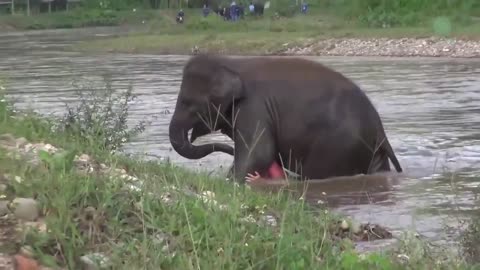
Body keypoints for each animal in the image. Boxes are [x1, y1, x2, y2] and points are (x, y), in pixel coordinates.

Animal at [168, 53, 402, 182]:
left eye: (187, 102)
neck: (231, 63)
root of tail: (379, 129)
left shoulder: (254, 107)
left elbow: (260, 153)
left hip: (338, 146)